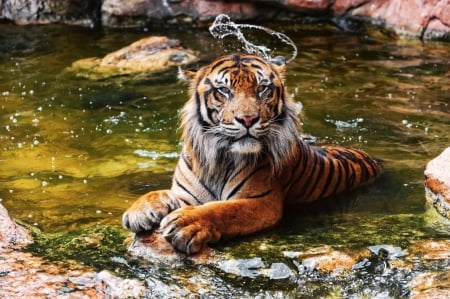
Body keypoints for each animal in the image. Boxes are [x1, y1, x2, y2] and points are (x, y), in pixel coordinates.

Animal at [121, 52, 382, 254]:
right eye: (224, 90)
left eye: (262, 88)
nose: (248, 119)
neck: (219, 159)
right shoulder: (185, 194)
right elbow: (159, 193)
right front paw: (140, 211)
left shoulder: (263, 201)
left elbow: (224, 210)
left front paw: (186, 223)